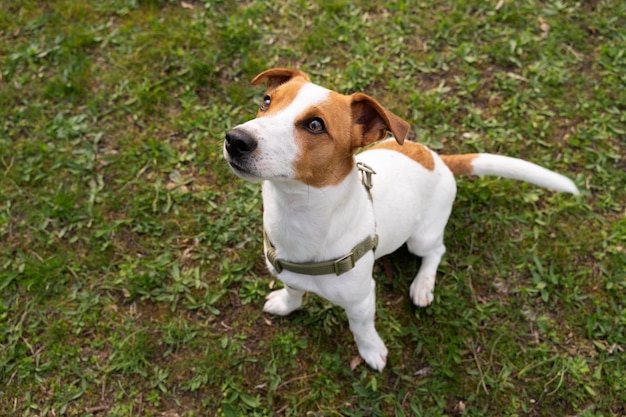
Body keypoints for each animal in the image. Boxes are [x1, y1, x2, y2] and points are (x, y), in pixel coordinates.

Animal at [222, 68, 576, 370]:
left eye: (315, 125)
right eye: (267, 101)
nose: (235, 139)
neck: (299, 213)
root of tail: (438, 159)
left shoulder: (362, 300)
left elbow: (361, 328)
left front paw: (371, 351)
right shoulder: (288, 272)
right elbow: (294, 291)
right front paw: (285, 304)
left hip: (421, 237)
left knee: (436, 251)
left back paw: (422, 285)